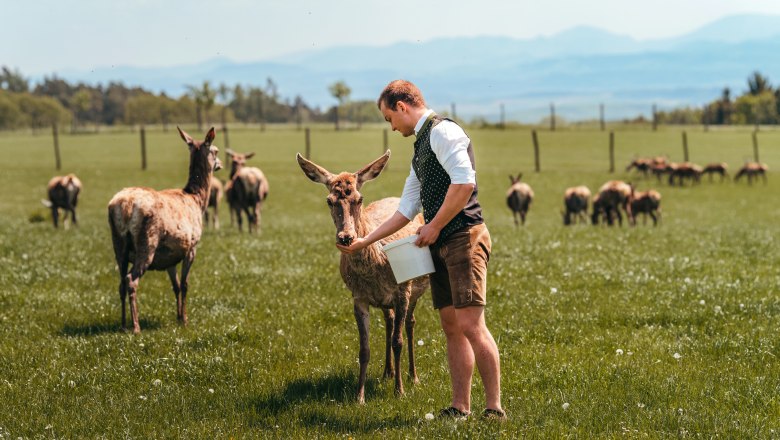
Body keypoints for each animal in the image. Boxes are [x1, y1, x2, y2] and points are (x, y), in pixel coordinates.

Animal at [106, 127, 222, 334]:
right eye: (215, 151)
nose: (221, 163)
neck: (197, 200)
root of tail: (124, 207)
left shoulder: (170, 256)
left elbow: (175, 286)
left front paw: (178, 317)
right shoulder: (191, 246)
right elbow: (184, 284)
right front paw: (185, 319)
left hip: (118, 244)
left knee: (121, 282)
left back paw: (123, 324)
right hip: (148, 241)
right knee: (131, 280)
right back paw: (136, 327)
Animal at [298, 151, 432, 406]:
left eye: (359, 199)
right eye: (329, 200)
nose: (346, 237)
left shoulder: (403, 290)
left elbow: (398, 341)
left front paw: (400, 391)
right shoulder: (358, 296)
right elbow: (364, 349)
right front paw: (359, 396)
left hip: (416, 289)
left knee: (410, 324)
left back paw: (413, 376)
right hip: (385, 301)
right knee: (390, 321)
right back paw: (387, 372)